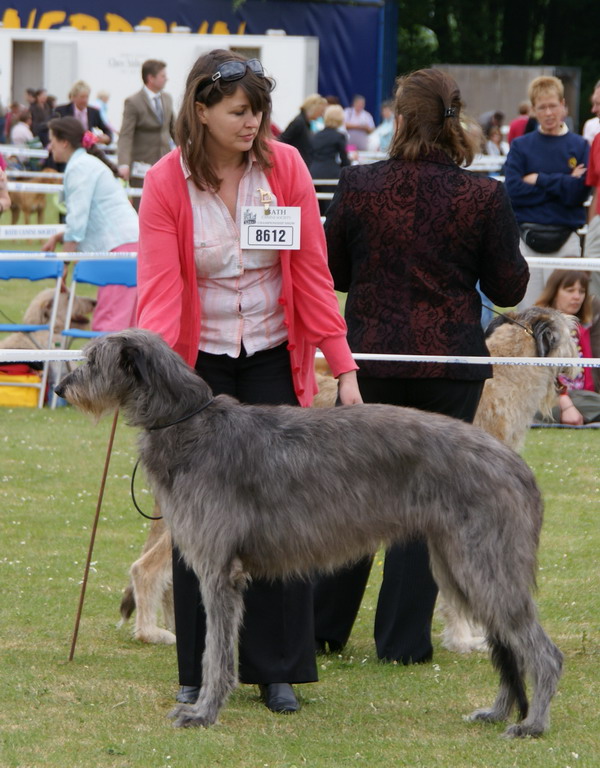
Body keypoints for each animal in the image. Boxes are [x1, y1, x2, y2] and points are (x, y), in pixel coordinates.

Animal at [55, 328, 564, 736]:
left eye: (93, 359)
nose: (60, 386)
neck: (192, 424)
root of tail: (519, 467)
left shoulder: (220, 572)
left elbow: (216, 653)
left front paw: (204, 712)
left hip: (485, 563)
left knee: (543, 653)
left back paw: (533, 724)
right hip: (461, 566)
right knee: (509, 646)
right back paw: (499, 713)